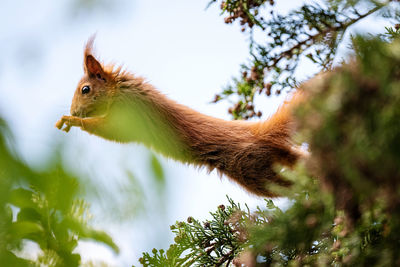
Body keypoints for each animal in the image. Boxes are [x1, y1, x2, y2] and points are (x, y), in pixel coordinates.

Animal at [55, 37, 306, 197]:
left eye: (85, 89)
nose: (75, 111)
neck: (121, 89)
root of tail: (259, 133)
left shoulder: (130, 113)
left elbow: (112, 131)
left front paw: (72, 120)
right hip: (277, 156)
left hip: (252, 169)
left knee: (288, 185)